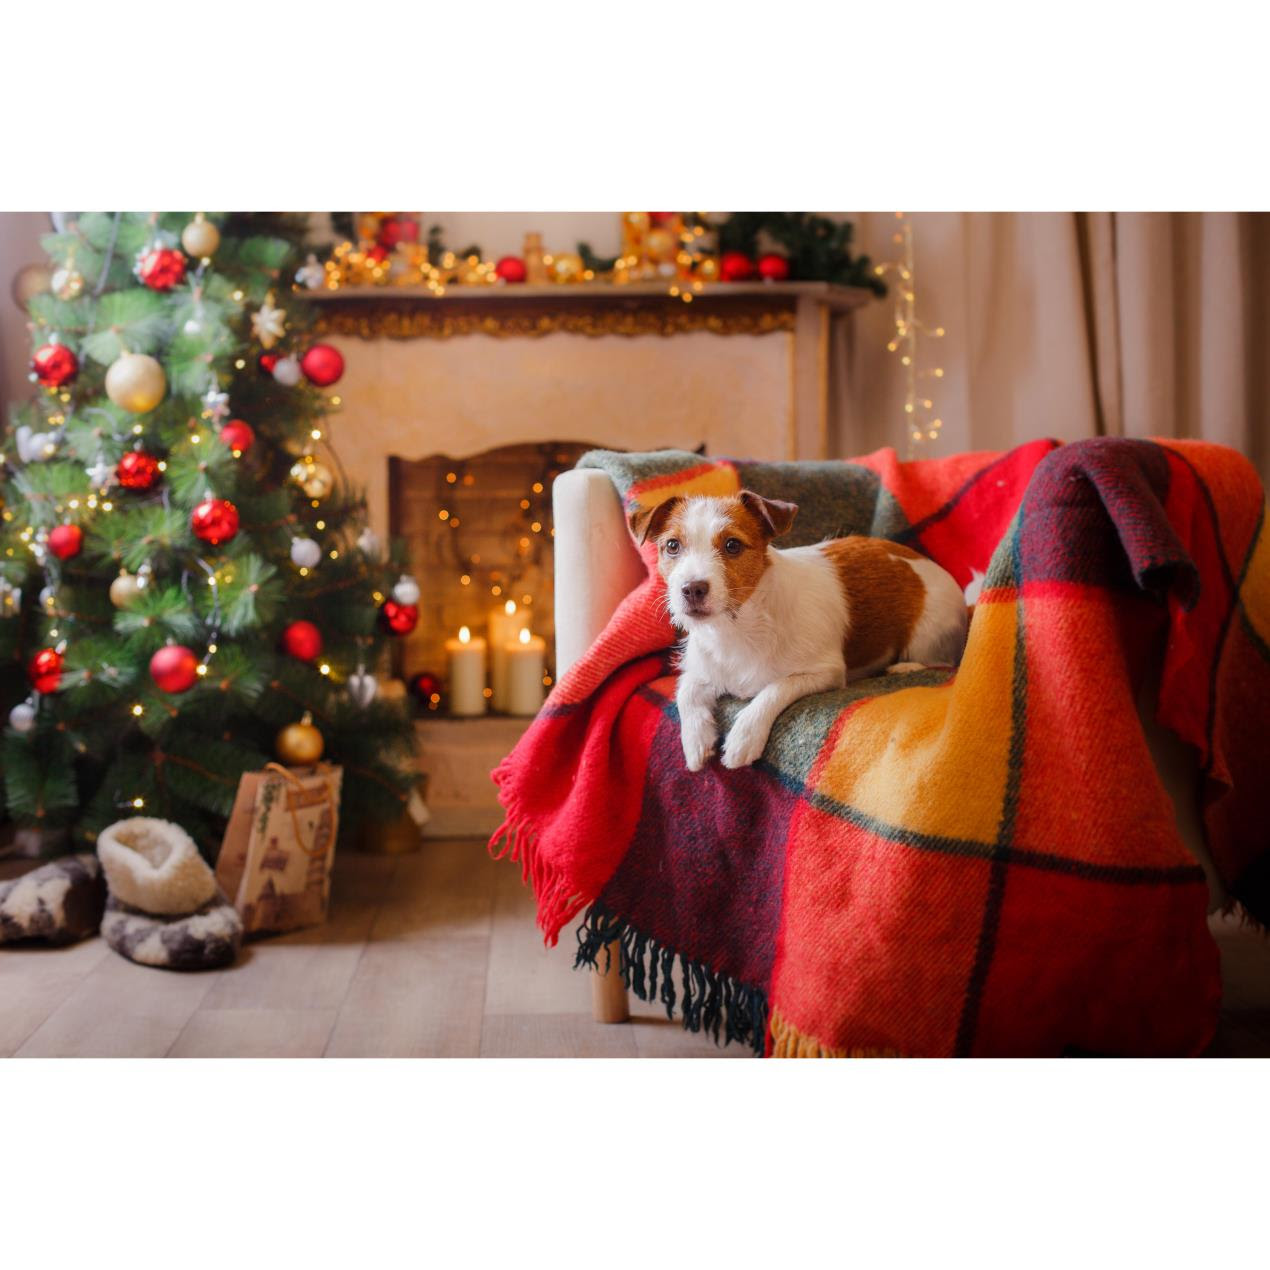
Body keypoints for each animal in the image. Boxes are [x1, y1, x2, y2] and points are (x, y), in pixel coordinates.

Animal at [629, 487, 965, 767]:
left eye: (732, 545)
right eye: (672, 545)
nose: (691, 589)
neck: (737, 627)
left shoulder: (825, 672)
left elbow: (775, 687)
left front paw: (744, 737)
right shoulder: (702, 669)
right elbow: (685, 690)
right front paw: (695, 740)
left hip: (928, 633)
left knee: (942, 661)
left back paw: (905, 667)